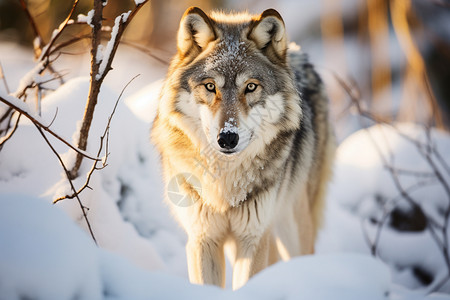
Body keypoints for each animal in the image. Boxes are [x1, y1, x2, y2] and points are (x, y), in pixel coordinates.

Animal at [151, 7, 334, 290]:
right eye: (210, 86)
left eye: (250, 87)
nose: (227, 138)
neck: (225, 181)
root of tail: (296, 52)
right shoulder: (203, 239)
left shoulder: (254, 238)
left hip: (292, 228)